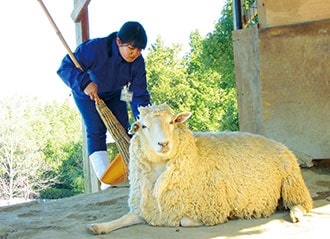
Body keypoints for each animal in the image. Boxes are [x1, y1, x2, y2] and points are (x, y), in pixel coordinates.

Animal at [86, 103, 314, 235]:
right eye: (143, 126)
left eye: (172, 122)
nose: (163, 144)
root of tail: (277, 143)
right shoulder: (147, 208)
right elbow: (126, 218)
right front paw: (99, 227)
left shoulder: (213, 208)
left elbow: (184, 221)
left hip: (291, 181)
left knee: (302, 203)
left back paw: (295, 214)